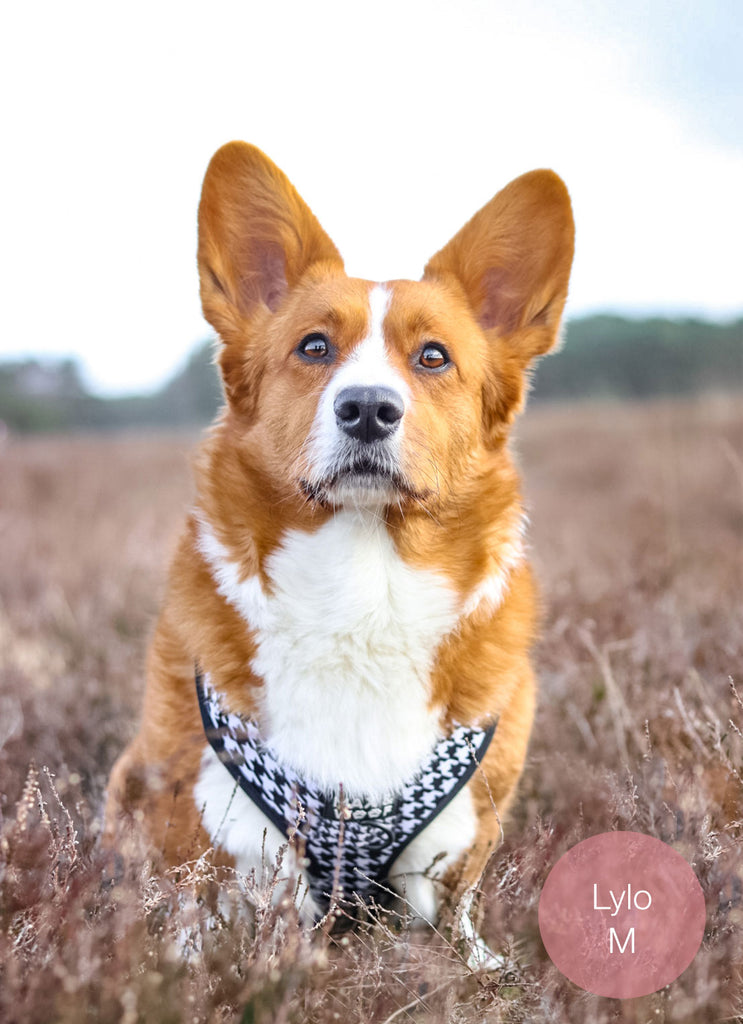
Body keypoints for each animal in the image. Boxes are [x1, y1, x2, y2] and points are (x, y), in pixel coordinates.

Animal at [104, 140, 577, 933]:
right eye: (314, 347)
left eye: (433, 357)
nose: (367, 409)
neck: (364, 588)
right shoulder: (216, 834)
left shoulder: (447, 857)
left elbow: (452, 924)